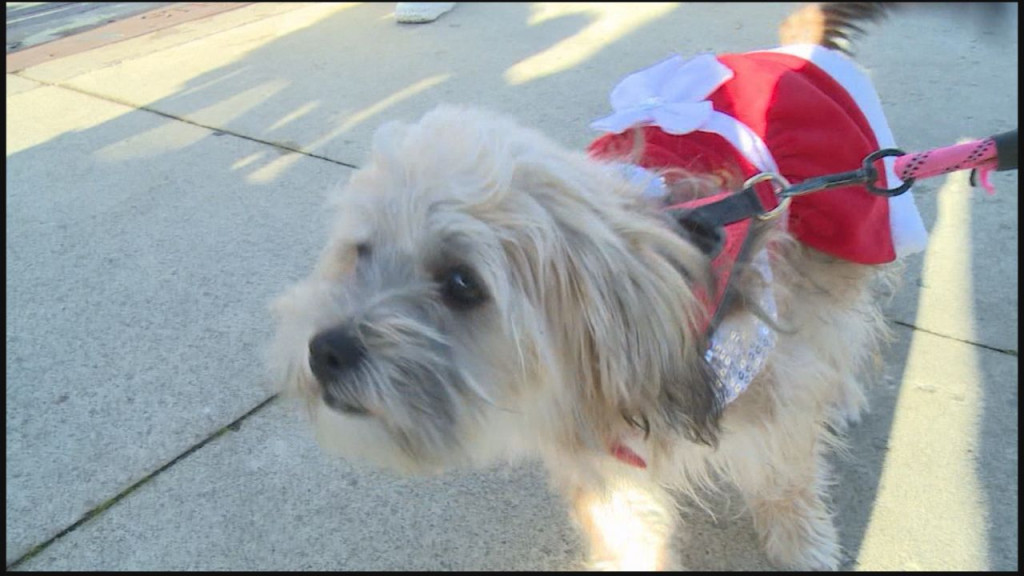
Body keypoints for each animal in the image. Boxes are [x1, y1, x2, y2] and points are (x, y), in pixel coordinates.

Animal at [268, 3, 933, 569]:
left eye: (461, 282)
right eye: (362, 252)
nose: (325, 351)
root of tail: (789, 50)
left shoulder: (772, 407)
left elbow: (786, 475)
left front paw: (801, 542)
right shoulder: (603, 466)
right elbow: (630, 533)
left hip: (848, 237)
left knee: (844, 330)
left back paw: (842, 393)